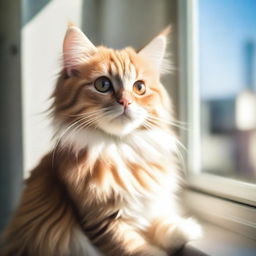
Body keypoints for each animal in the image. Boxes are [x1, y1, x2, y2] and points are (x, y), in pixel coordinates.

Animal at [0, 25, 202, 255]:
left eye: (139, 87)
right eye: (103, 84)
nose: (126, 102)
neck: (119, 148)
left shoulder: (145, 206)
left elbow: (155, 222)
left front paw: (184, 228)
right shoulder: (101, 221)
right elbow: (140, 248)